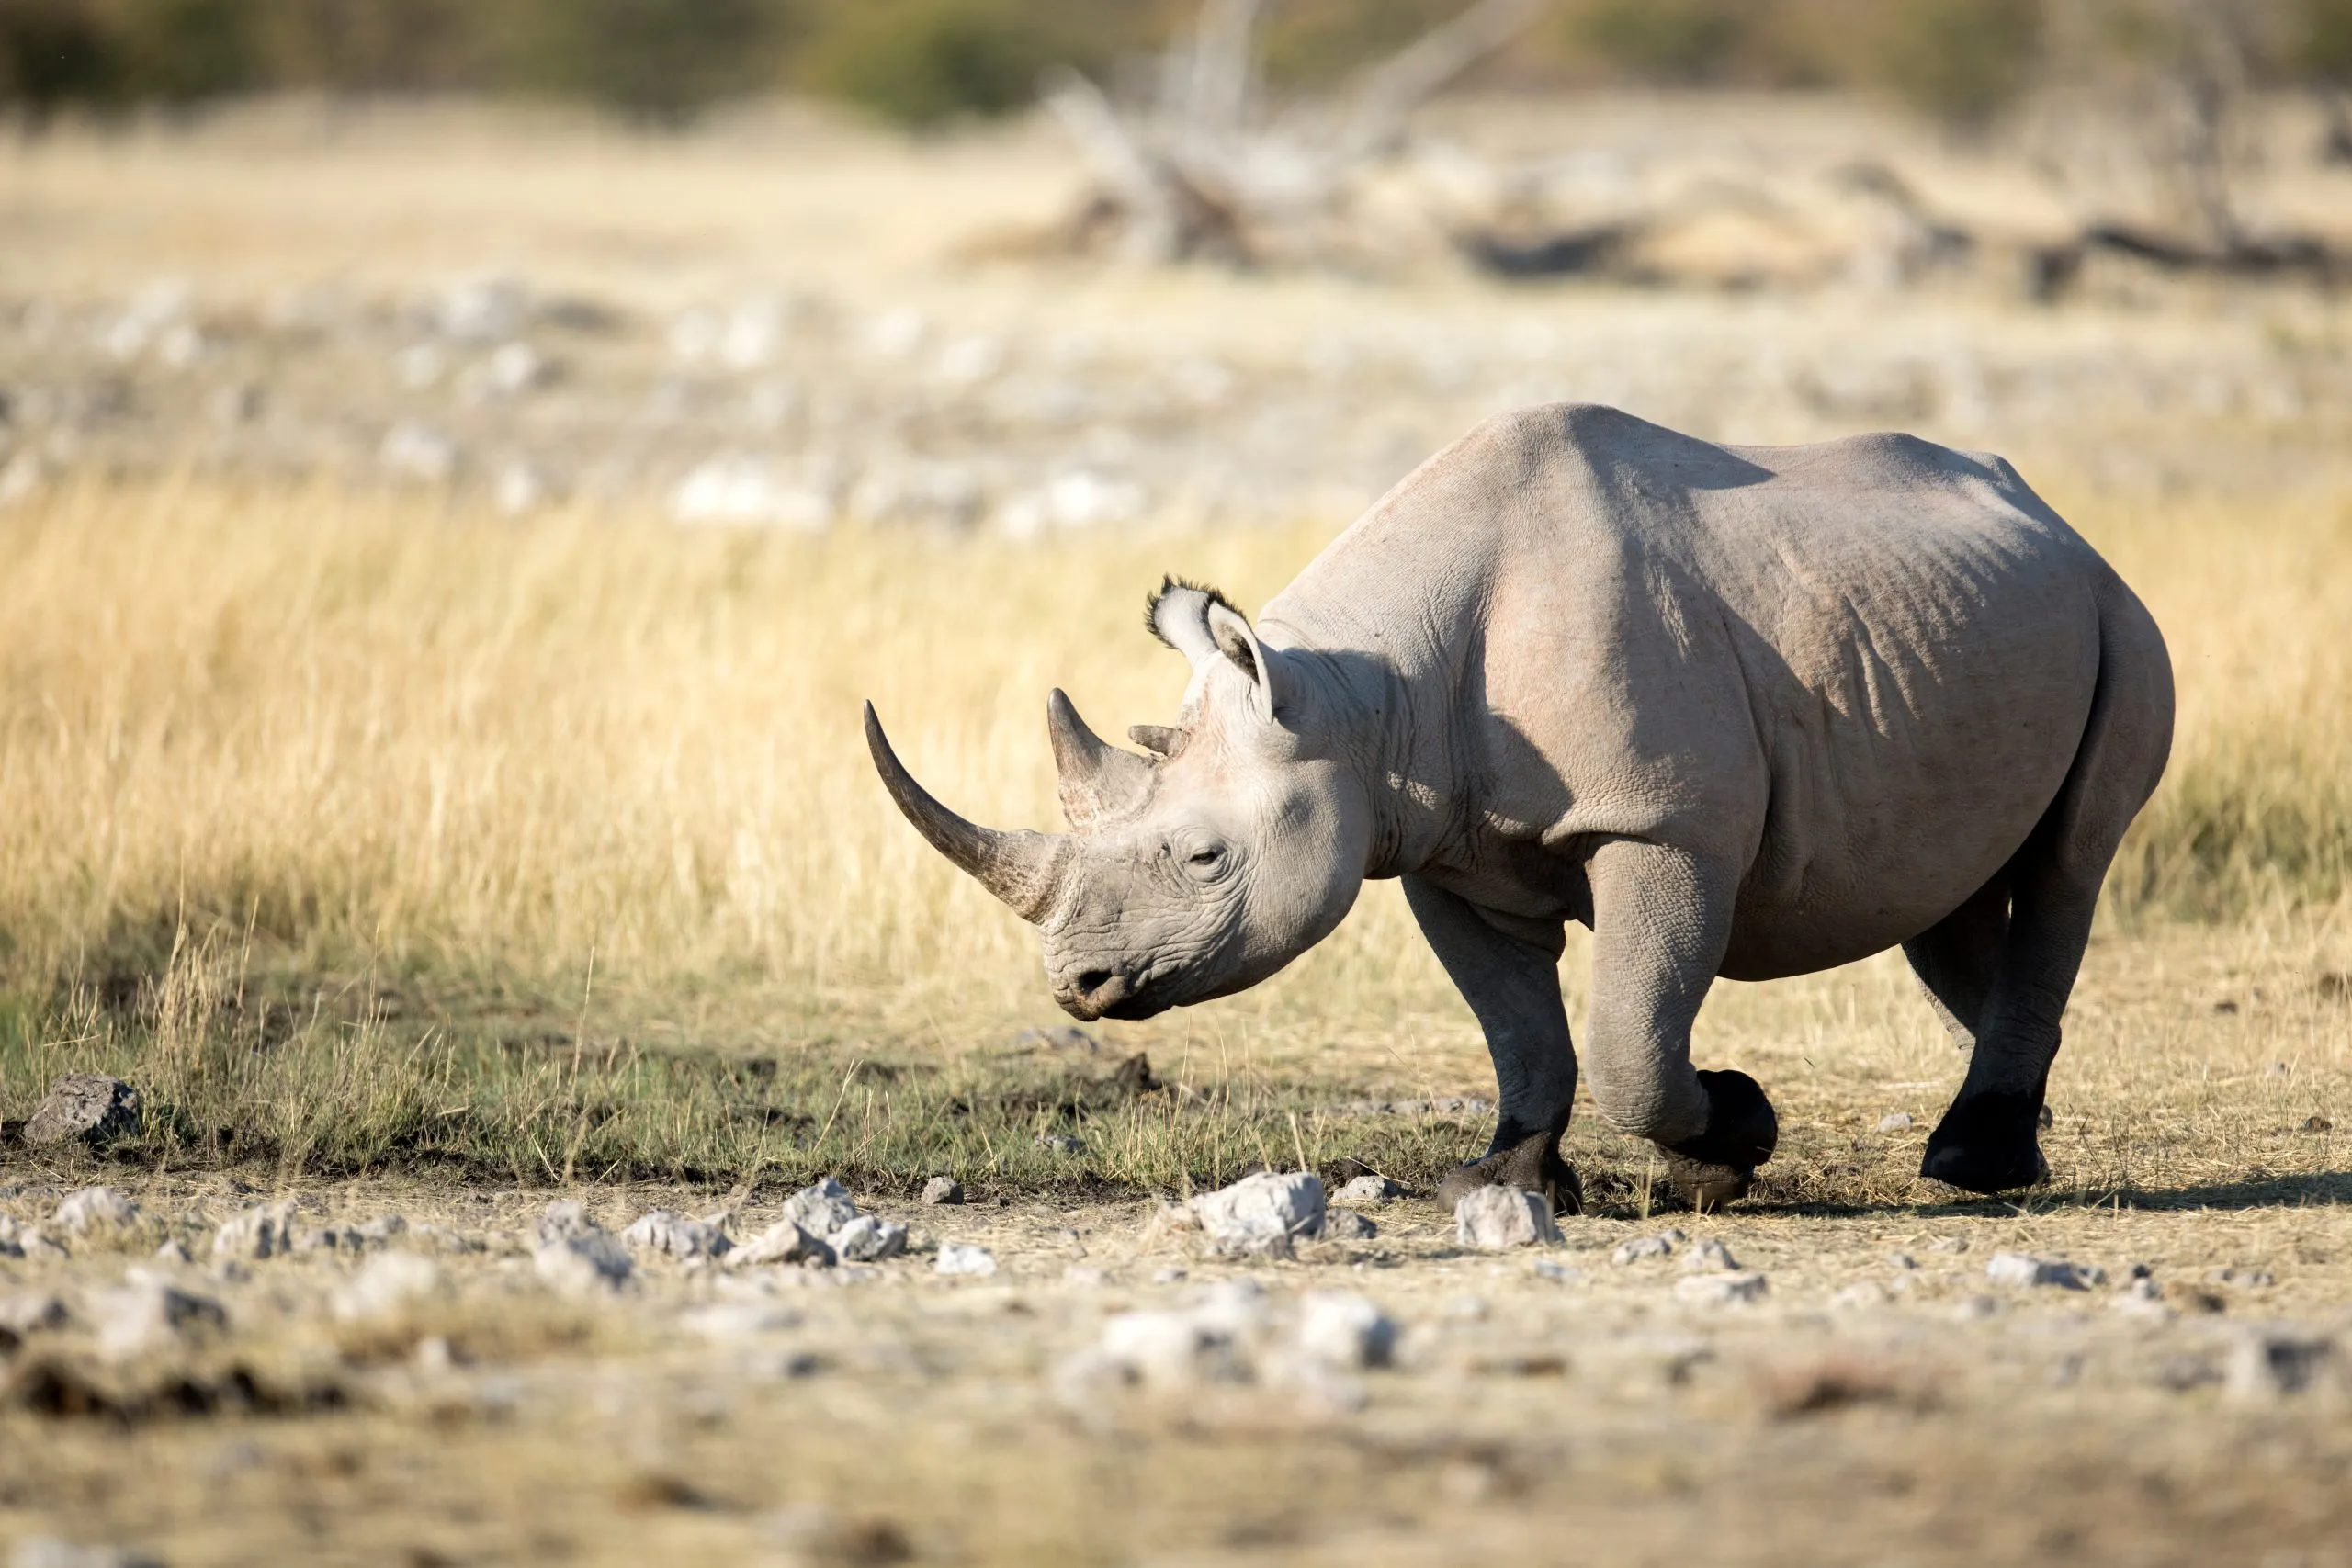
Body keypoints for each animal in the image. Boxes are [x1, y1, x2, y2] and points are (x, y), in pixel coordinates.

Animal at [867, 404, 2173, 1210]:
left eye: (1201, 857)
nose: (1075, 986)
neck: (1357, 696)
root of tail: (2055, 517)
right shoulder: (1437, 845)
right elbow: (1519, 1028)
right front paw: (1504, 1185)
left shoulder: (1660, 822)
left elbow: (1630, 1036)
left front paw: (1730, 1143)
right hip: (1971, 624)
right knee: (1951, 896)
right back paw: (2001, 1139)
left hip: (2121, 613)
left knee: (2068, 861)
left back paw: (1974, 1165)